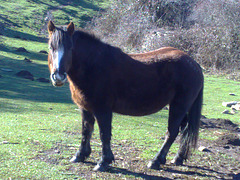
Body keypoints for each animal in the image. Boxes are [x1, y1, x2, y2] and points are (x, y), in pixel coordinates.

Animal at [47, 21, 204, 172]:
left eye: (70, 48)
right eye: (51, 47)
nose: (58, 77)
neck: (93, 66)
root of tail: (194, 64)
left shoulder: (102, 109)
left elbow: (104, 134)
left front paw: (104, 162)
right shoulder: (85, 108)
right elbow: (86, 130)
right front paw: (80, 155)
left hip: (179, 106)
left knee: (172, 132)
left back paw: (156, 161)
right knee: (184, 130)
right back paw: (178, 158)